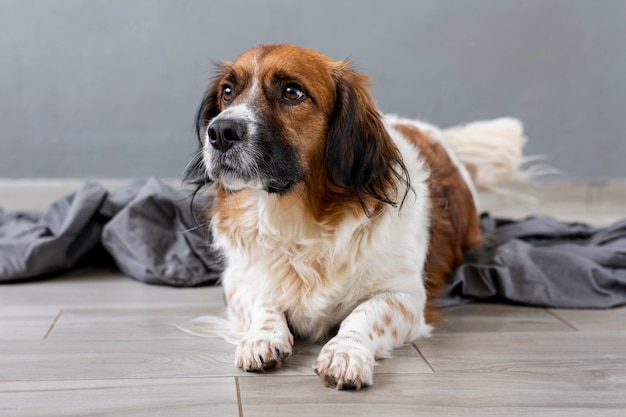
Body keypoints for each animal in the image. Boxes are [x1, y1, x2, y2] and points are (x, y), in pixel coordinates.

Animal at [185, 44, 492, 390]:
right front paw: (262, 337)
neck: (295, 220)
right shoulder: (237, 280)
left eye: (291, 92)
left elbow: (365, 312)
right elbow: (263, 300)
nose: (220, 132)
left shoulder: (406, 296)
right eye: (227, 92)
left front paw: (345, 353)